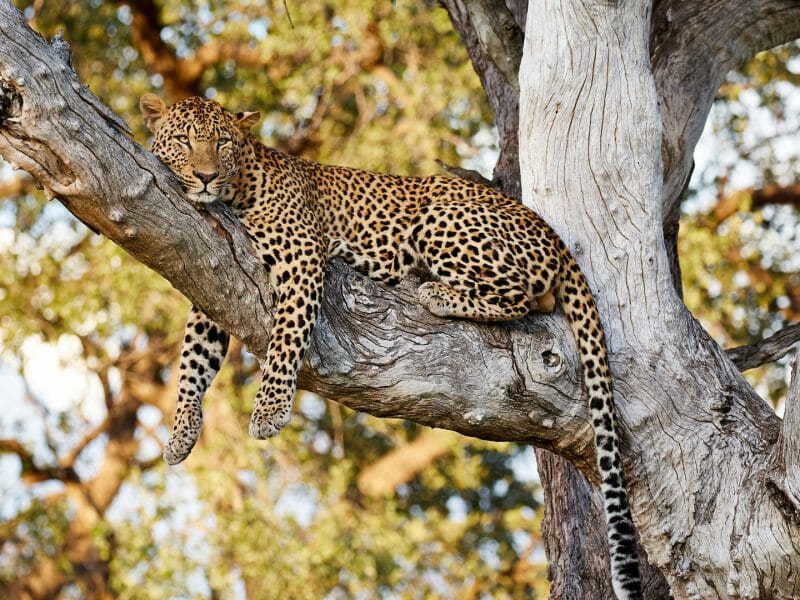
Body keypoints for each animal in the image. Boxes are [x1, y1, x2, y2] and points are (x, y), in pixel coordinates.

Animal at [140, 93, 643, 600]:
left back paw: (434, 292)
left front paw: (269, 411)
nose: (205, 175)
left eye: (222, 143)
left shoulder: (302, 259)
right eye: (184, 140)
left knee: (522, 296)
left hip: (439, 217)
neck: (238, 188)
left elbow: (285, 339)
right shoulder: (212, 279)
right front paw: (180, 434)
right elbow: (193, 360)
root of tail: (552, 233)